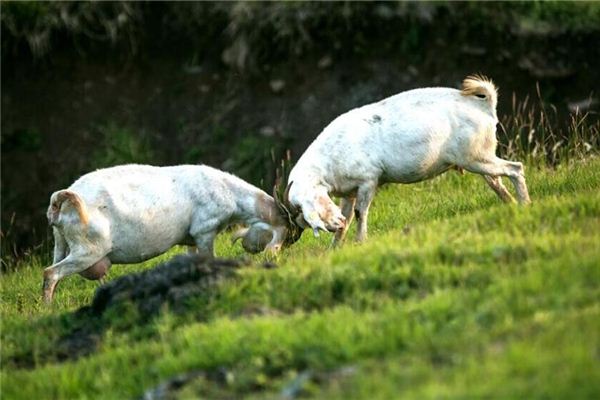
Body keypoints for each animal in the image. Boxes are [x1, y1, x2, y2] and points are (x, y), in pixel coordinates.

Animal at [42, 164, 300, 302]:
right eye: (286, 235)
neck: (226, 190)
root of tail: (61, 200)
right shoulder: (204, 232)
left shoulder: (191, 241)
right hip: (89, 251)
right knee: (50, 273)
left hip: (62, 246)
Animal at [282, 74, 528, 244]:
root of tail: (484, 106)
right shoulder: (347, 192)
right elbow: (348, 217)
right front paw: (334, 249)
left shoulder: (368, 180)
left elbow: (361, 213)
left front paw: (360, 242)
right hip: (479, 155)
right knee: (497, 181)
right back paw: (512, 205)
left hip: (475, 157)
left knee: (515, 168)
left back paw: (526, 204)